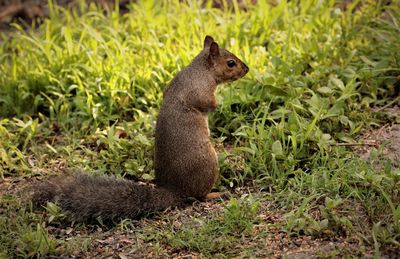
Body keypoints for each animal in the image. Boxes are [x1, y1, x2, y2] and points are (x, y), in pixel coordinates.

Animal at [31, 35, 248, 223]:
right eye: (231, 63)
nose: (247, 69)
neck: (202, 70)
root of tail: (174, 190)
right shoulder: (200, 92)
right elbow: (210, 104)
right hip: (208, 163)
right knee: (198, 196)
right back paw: (215, 193)